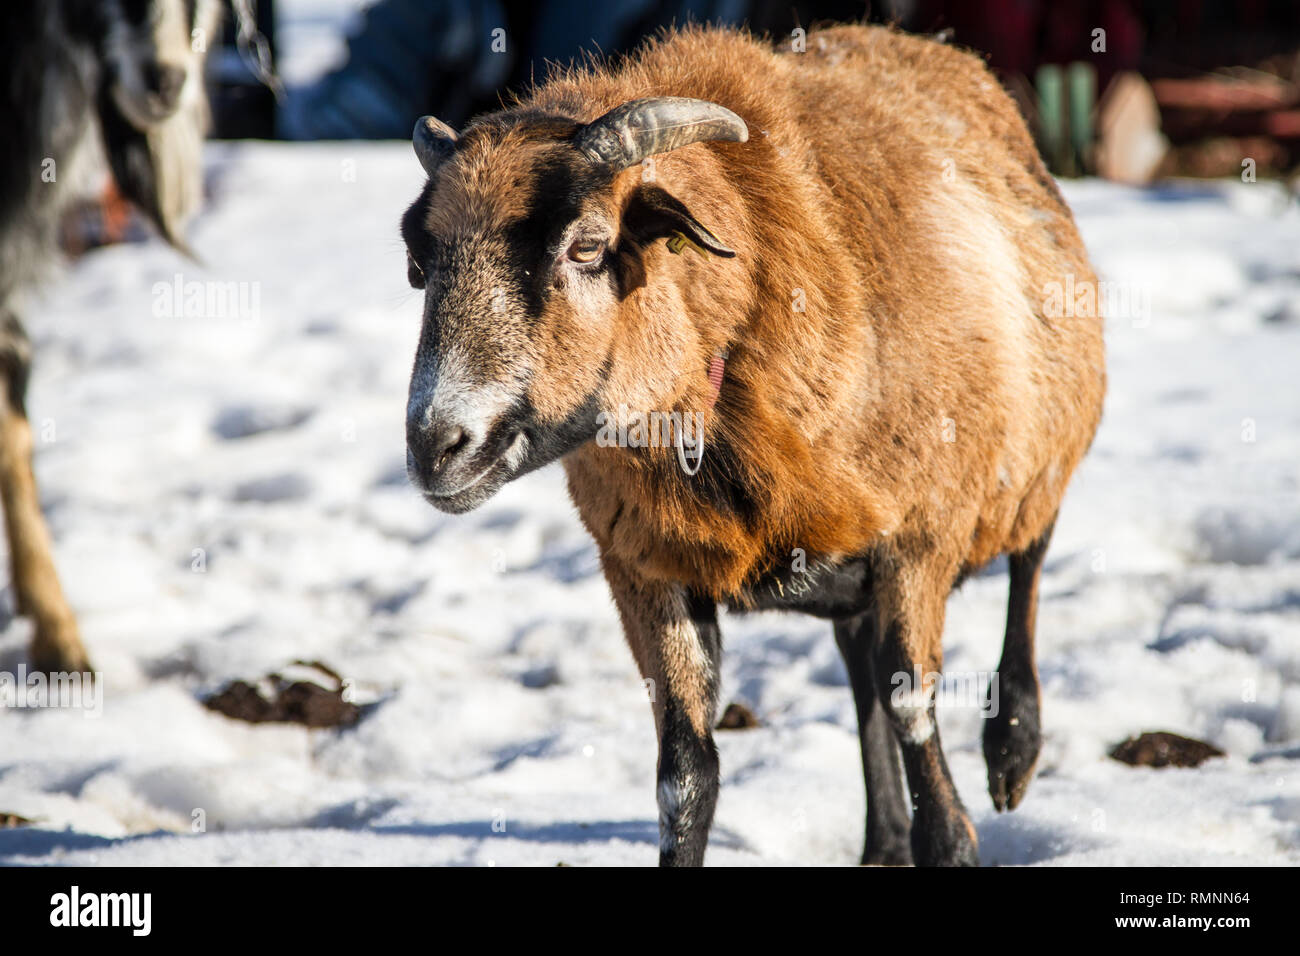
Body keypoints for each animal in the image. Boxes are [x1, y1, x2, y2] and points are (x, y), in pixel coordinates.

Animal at [397, 24, 1107, 868]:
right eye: (419, 263)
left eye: (588, 247)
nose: (435, 445)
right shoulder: (644, 567)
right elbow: (686, 777)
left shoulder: (920, 540)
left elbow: (917, 725)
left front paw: (955, 831)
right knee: (860, 669)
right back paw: (883, 838)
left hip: (1037, 444)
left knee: (1029, 558)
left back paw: (1013, 750)